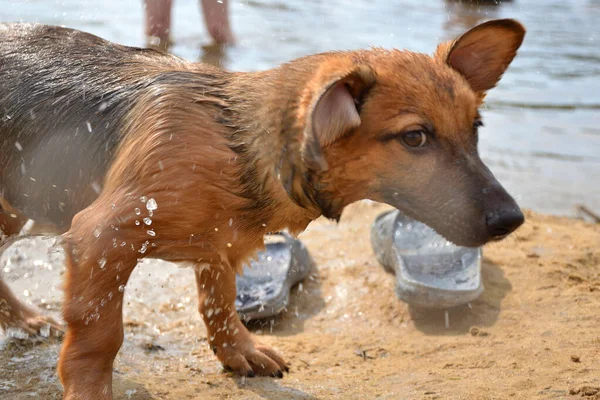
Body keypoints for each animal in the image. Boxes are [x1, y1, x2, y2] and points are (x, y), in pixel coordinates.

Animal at [0, 19, 524, 400]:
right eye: (415, 138)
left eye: (475, 129)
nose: (512, 220)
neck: (238, 146)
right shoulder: (102, 238)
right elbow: (99, 333)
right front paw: (90, 390)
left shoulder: (219, 243)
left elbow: (219, 301)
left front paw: (239, 350)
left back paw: (24, 319)